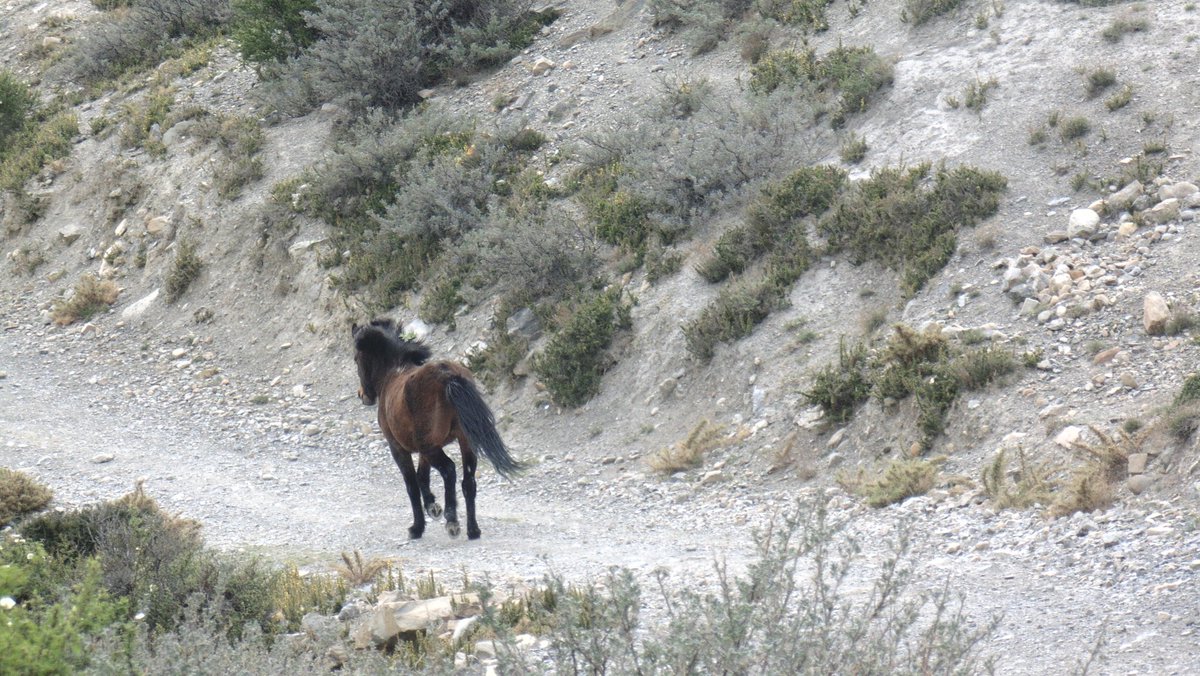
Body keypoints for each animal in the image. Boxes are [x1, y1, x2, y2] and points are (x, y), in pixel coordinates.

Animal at [351, 318, 521, 540]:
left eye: (356, 359)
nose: (363, 395)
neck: (394, 372)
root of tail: (448, 375)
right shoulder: (424, 449)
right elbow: (423, 476)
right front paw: (432, 506)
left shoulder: (398, 448)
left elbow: (412, 484)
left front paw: (417, 527)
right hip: (463, 442)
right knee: (468, 482)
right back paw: (473, 529)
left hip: (431, 447)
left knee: (449, 470)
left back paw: (452, 521)